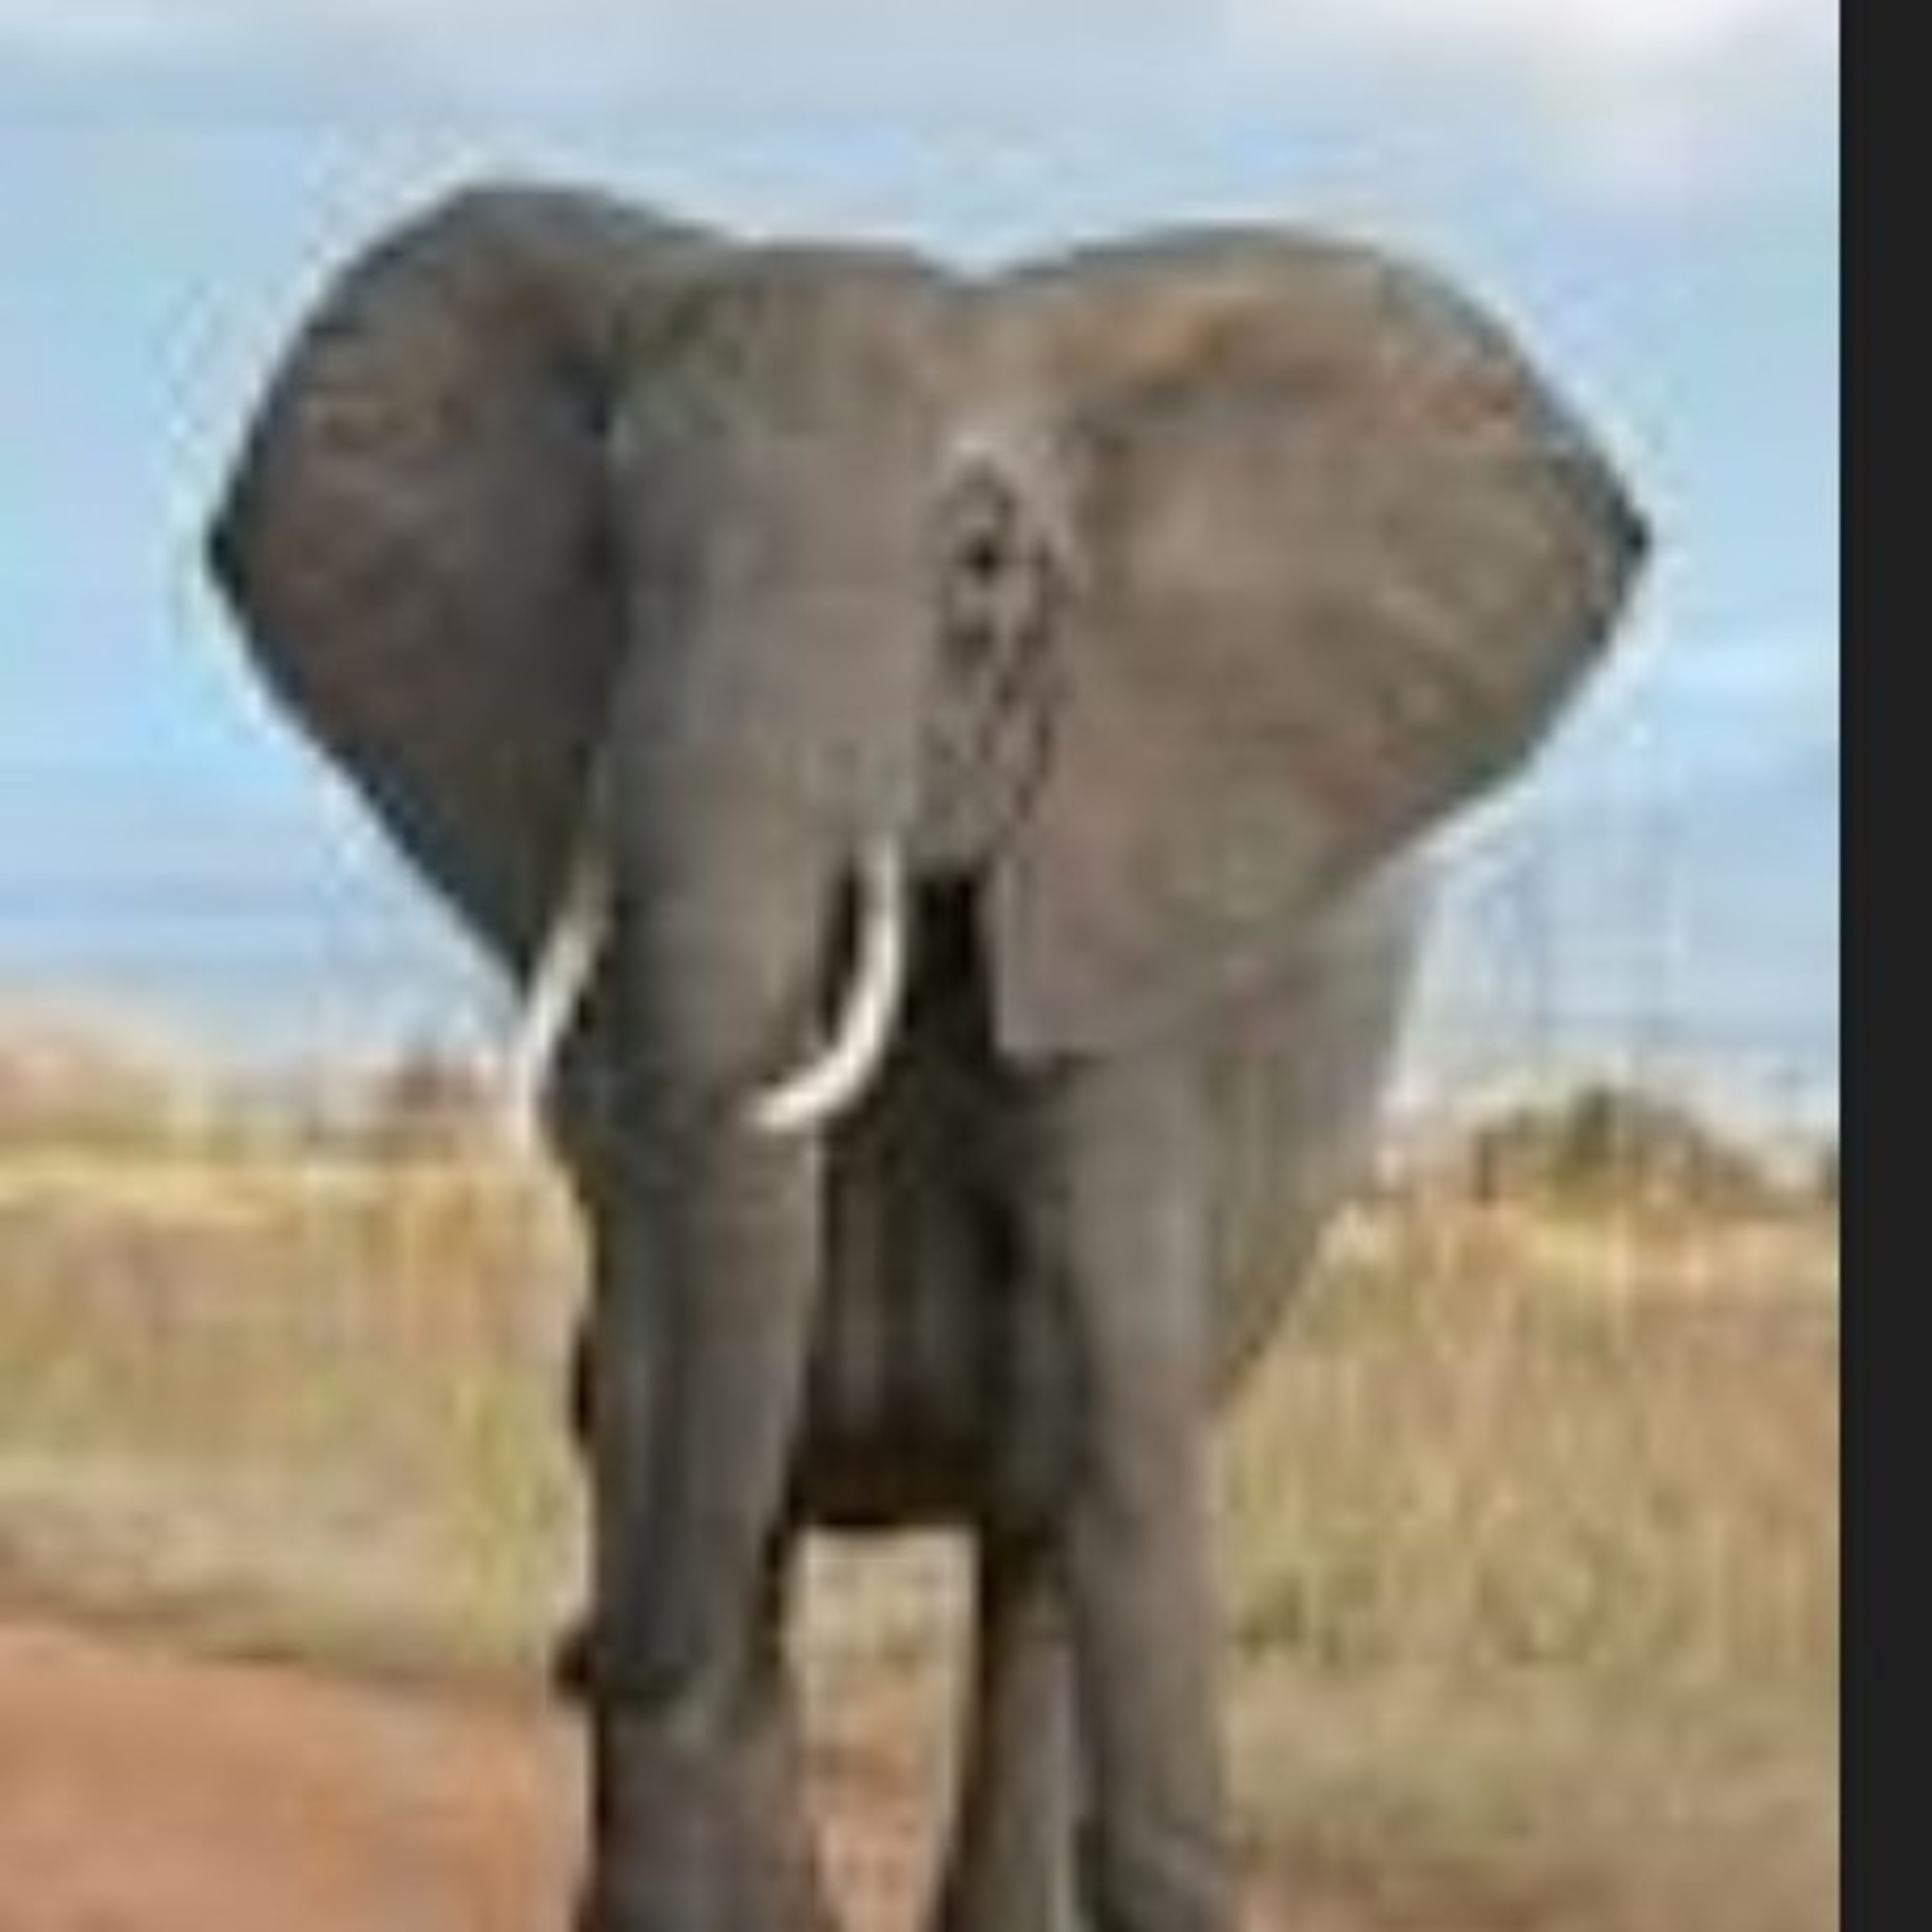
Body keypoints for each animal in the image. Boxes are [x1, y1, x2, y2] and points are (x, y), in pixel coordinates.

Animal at [207, 184, 1647, 1932]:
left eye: (982, 565)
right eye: (613, 554)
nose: (563, 1655)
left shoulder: (1122, 920)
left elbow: (1116, 1414)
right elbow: (667, 1381)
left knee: (1041, 1541)